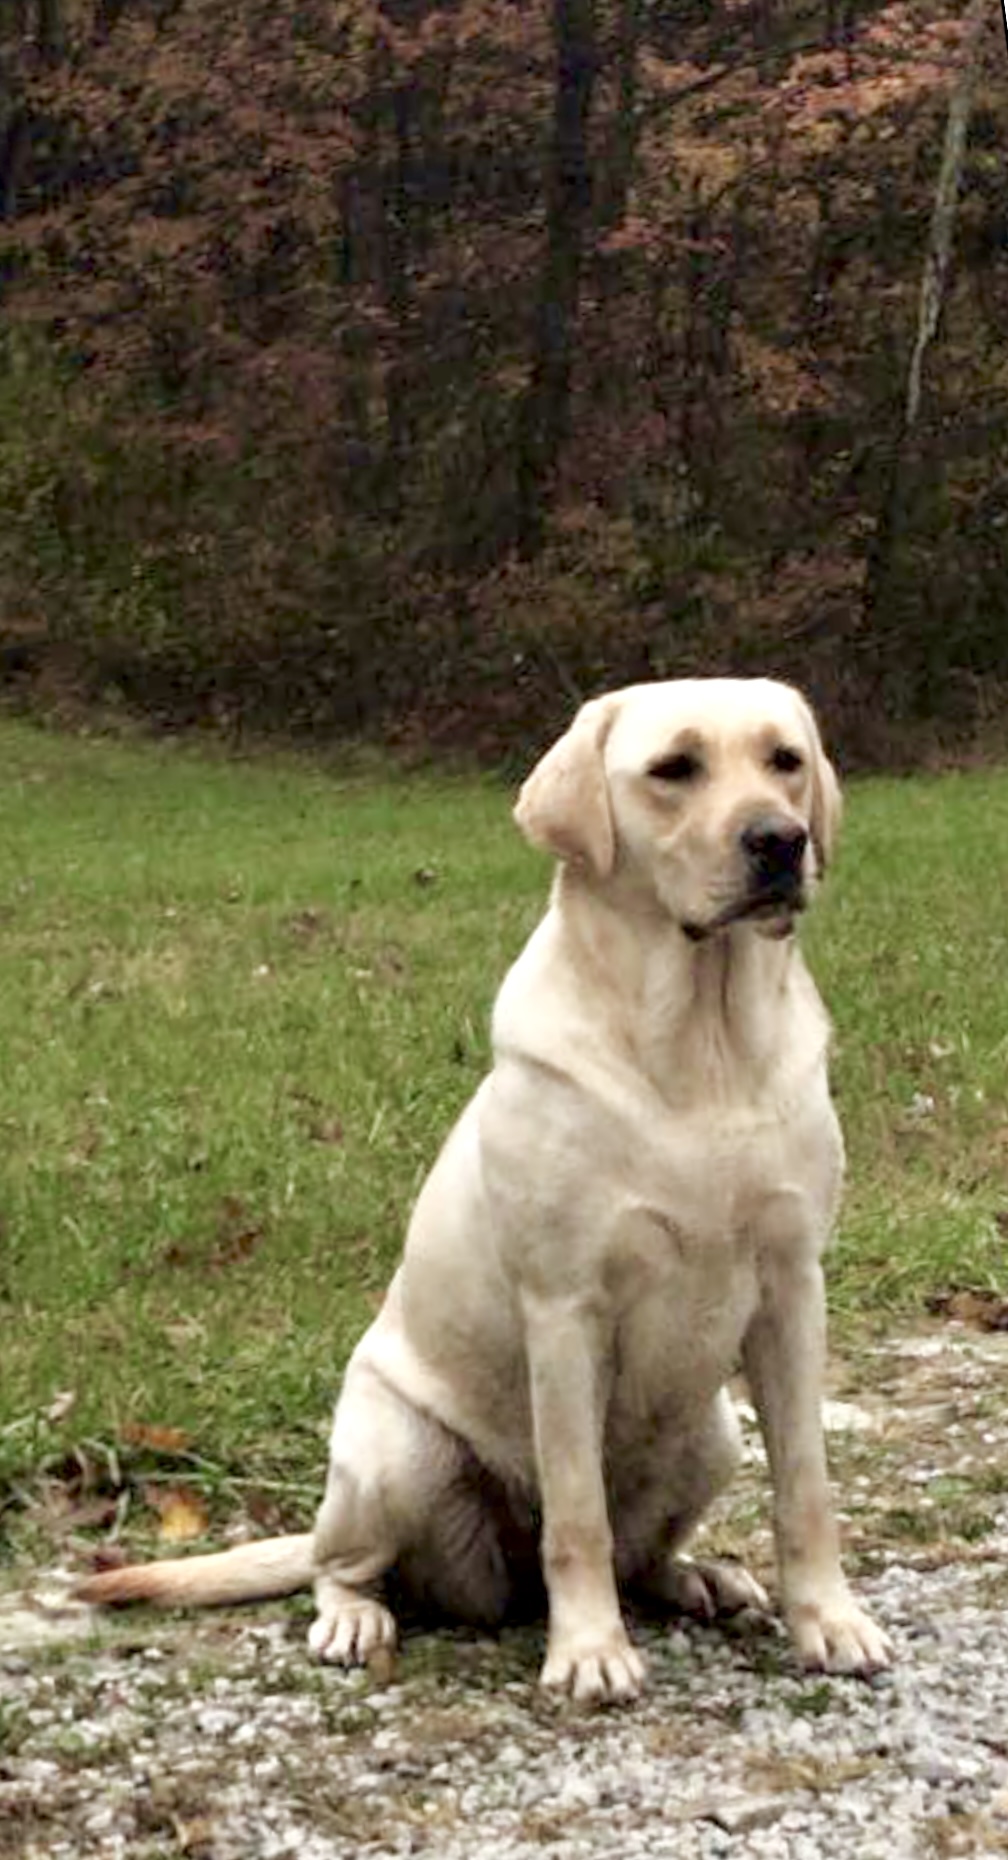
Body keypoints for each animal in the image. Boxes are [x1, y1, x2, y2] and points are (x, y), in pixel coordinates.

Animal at [80, 680, 900, 1703]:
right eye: (674, 769)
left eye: (785, 760)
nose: (781, 841)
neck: (702, 1047)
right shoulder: (566, 1306)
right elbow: (578, 1513)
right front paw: (588, 1649)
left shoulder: (792, 1288)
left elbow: (807, 1488)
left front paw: (829, 1621)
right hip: (396, 1452)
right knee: (346, 1563)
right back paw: (355, 1618)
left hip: (715, 1432)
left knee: (641, 1553)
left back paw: (698, 1576)